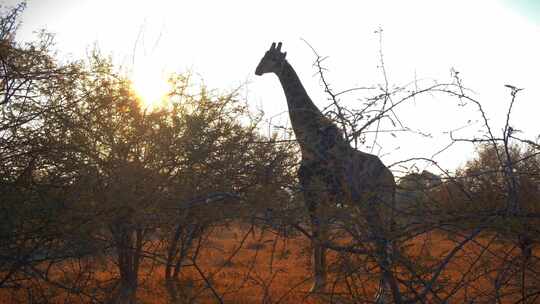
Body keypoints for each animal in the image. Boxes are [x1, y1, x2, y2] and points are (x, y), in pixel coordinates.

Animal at [255, 42, 398, 302]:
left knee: (382, 242)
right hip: (374, 206)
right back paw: (385, 290)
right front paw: (320, 282)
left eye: (271, 58)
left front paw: (317, 284)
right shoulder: (322, 197)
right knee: (385, 242)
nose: (257, 70)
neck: (307, 140)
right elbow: (321, 235)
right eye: (262, 56)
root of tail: (391, 180)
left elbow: (317, 235)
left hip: (373, 204)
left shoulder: (312, 190)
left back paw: (381, 294)